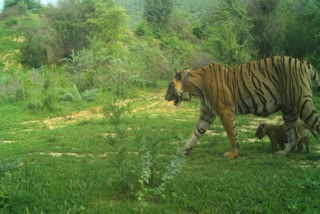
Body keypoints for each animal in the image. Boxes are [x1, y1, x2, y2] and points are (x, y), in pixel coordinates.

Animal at [165, 56, 320, 158]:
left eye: (169, 86)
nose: (165, 97)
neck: (195, 88)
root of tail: (302, 62)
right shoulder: (206, 113)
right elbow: (195, 133)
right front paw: (183, 150)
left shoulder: (225, 110)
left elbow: (231, 133)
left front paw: (233, 153)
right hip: (289, 110)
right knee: (293, 135)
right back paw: (283, 153)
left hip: (302, 102)